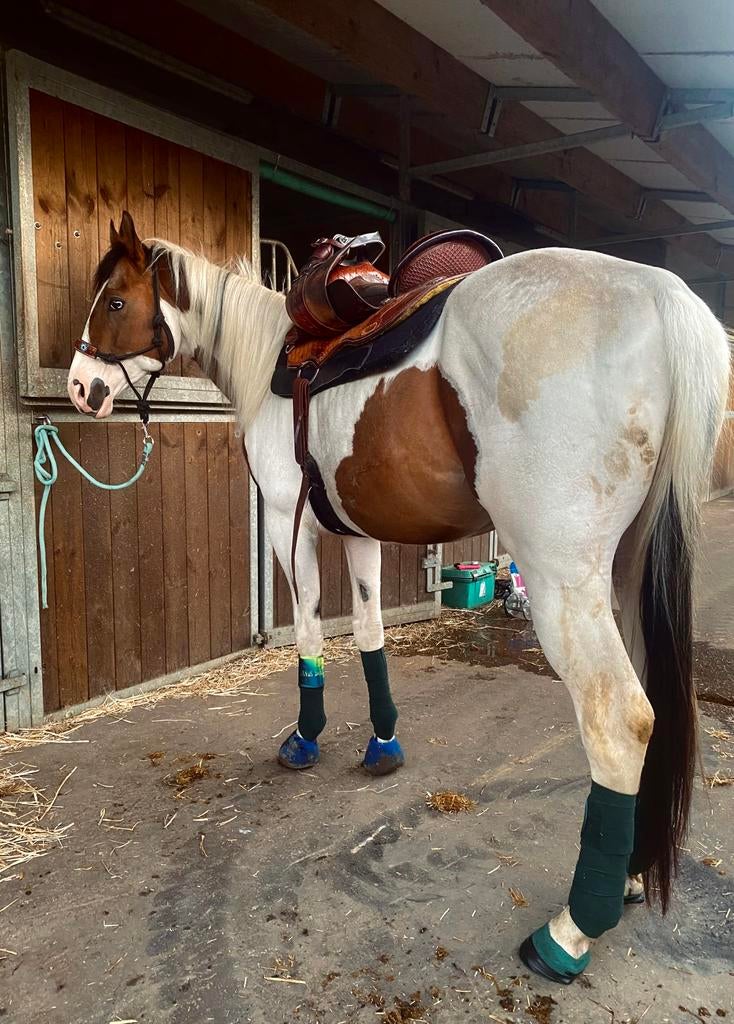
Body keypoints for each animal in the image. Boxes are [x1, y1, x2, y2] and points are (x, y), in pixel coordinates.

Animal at [66, 211, 730, 985]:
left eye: (114, 300)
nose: (80, 386)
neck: (276, 366)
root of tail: (660, 292)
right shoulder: (358, 533)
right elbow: (369, 631)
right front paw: (383, 741)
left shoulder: (288, 525)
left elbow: (310, 632)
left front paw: (306, 738)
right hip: (623, 572)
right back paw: (628, 876)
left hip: (564, 578)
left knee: (620, 720)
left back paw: (569, 933)